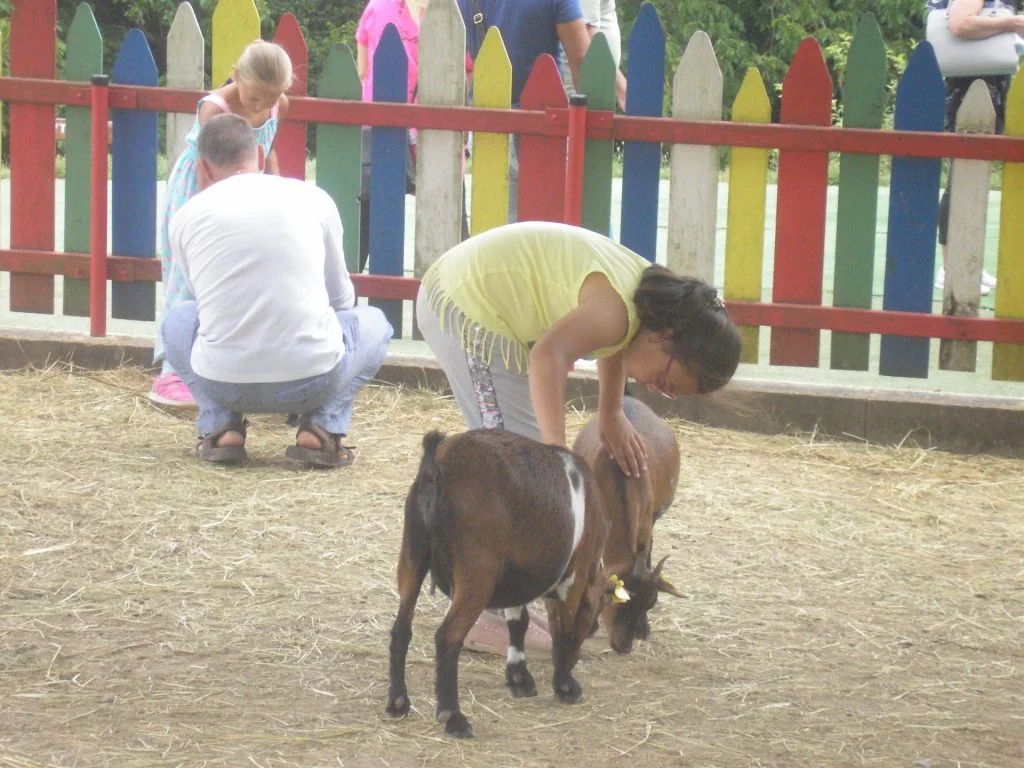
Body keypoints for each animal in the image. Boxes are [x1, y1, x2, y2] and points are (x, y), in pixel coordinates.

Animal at [385, 430, 606, 737]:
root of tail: (436, 469)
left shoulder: (515, 581)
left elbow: (518, 622)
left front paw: (519, 678)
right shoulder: (574, 579)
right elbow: (561, 630)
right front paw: (564, 685)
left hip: (412, 556)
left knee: (401, 630)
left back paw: (398, 702)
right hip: (477, 574)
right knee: (447, 637)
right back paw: (453, 716)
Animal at [573, 397, 684, 655]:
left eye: (650, 603)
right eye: (621, 601)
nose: (624, 646)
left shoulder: (644, 525)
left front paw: (644, 628)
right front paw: (590, 624)